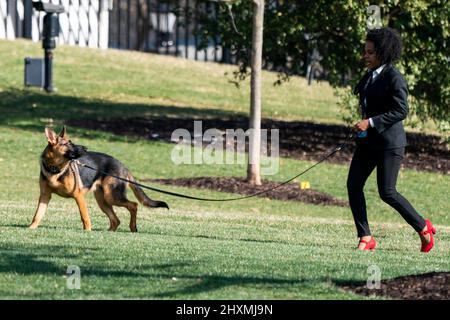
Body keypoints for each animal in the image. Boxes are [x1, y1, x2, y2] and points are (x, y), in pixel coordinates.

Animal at [29, 125, 169, 232]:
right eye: (68, 144)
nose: (86, 148)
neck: (55, 169)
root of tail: (123, 166)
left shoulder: (78, 196)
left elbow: (84, 216)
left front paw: (87, 231)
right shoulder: (45, 196)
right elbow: (37, 215)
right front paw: (31, 228)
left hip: (111, 196)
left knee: (133, 205)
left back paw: (133, 227)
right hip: (103, 200)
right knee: (116, 220)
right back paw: (110, 232)